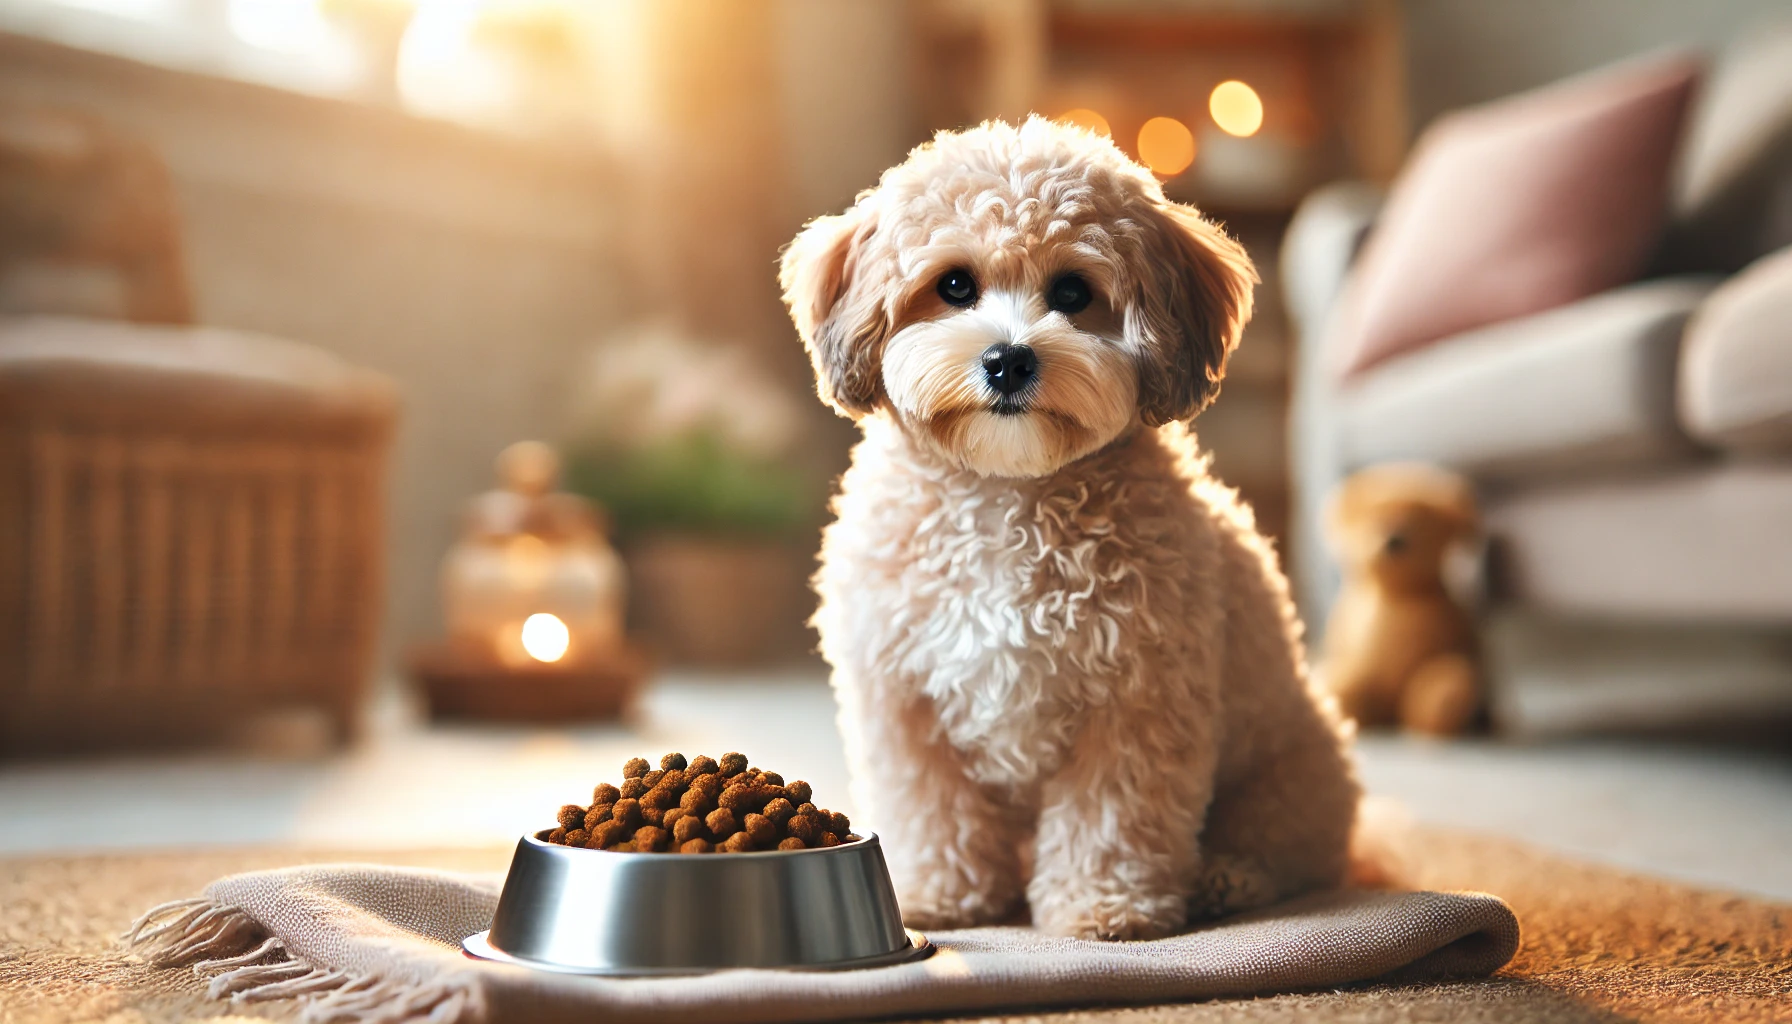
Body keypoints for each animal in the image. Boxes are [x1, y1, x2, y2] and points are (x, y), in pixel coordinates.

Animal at [781, 116, 1354, 939]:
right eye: (954, 285)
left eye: (1074, 292)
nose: (1009, 360)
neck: (1005, 497)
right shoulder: (904, 704)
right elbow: (933, 810)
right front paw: (940, 895)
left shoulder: (1136, 703)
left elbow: (1111, 816)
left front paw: (1103, 906)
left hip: (1290, 778)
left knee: (1290, 856)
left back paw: (1228, 878)